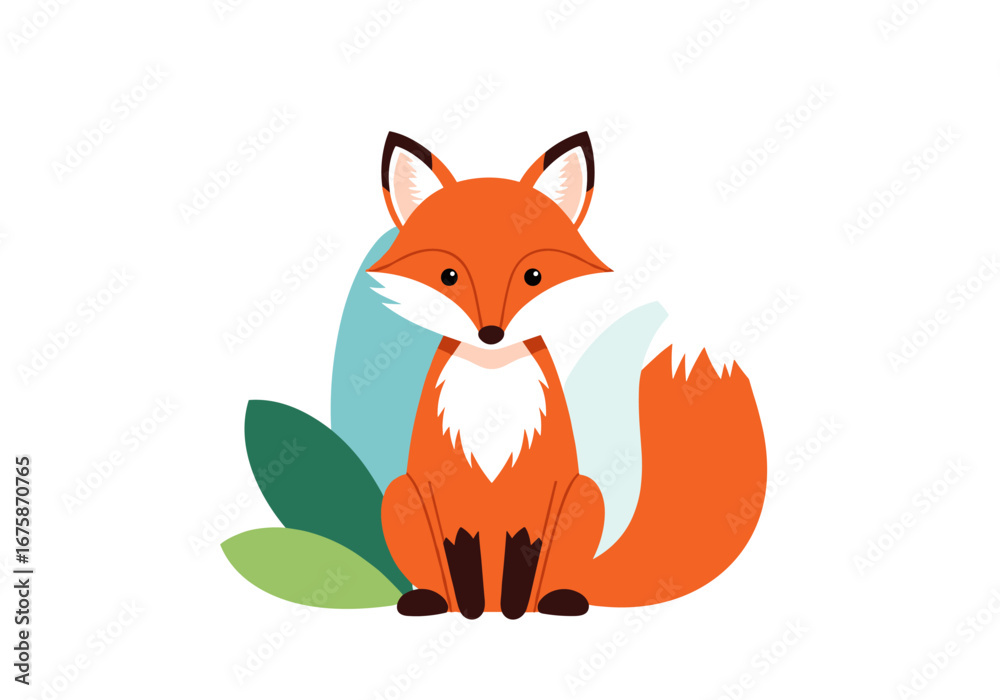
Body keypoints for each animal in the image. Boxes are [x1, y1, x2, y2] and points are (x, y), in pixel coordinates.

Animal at [370, 131, 767, 618]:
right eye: (448, 275)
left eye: (533, 275)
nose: (491, 334)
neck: (493, 396)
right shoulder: (442, 490)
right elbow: (460, 559)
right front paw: (471, 609)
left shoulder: (542, 488)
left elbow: (525, 556)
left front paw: (514, 608)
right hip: (400, 496)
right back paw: (436, 600)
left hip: (584, 496)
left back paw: (552, 600)